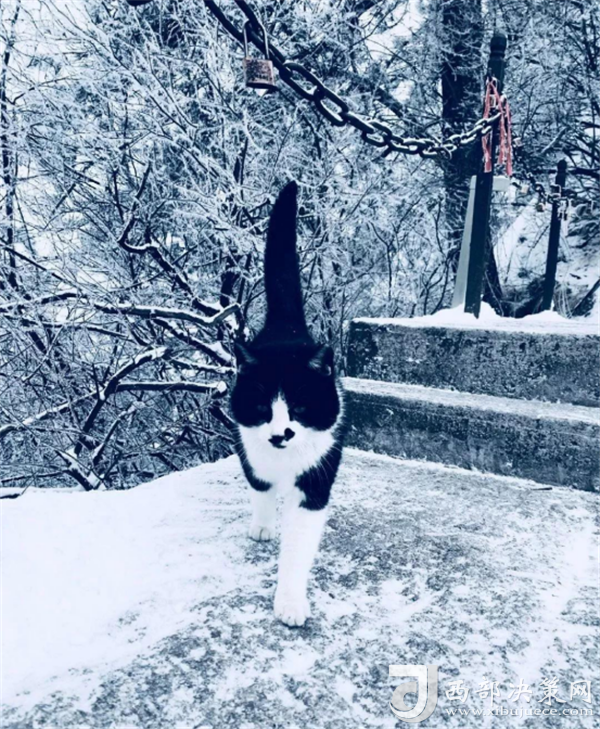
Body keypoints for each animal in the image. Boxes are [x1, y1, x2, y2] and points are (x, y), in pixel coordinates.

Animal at [230, 181, 344, 627]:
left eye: (299, 405)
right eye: (264, 407)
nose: (281, 433)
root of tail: (286, 326)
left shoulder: (315, 479)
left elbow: (298, 545)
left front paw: (291, 602)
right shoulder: (249, 451)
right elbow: (260, 488)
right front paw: (263, 527)